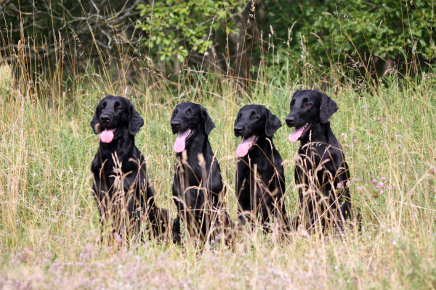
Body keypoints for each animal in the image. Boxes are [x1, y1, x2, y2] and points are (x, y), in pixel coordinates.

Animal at [90, 95, 169, 240]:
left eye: (119, 107)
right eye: (102, 107)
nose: (104, 118)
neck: (114, 156)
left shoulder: (131, 197)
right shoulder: (102, 195)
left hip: (160, 212)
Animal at [286, 90, 358, 233]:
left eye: (307, 104)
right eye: (292, 103)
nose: (288, 120)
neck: (317, 148)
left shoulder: (339, 187)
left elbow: (341, 216)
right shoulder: (305, 189)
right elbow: (307, 218)